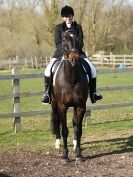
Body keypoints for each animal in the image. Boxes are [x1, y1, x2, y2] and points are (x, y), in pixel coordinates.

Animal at [50, 29, 89, 164]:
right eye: (64, 40)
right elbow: (64, 130)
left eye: (78, 39)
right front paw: (65, 157)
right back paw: (57, 143)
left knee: (74, 123)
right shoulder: (62, 106)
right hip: (54, 104)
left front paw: (78, 155)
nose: (74, 58)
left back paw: (75, 144)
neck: (71, 78)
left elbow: (78, 129)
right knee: (56, 120)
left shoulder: (80, 106)